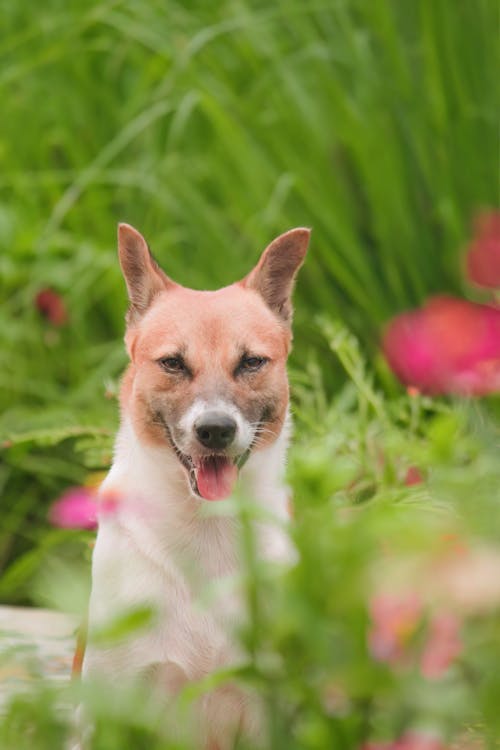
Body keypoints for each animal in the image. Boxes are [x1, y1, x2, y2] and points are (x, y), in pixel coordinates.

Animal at [82, 220, 308, 748]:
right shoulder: (115, 706)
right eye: (172, 364)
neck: (205, 525)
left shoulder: (267, 708)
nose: (215, 430)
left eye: (251, 362)